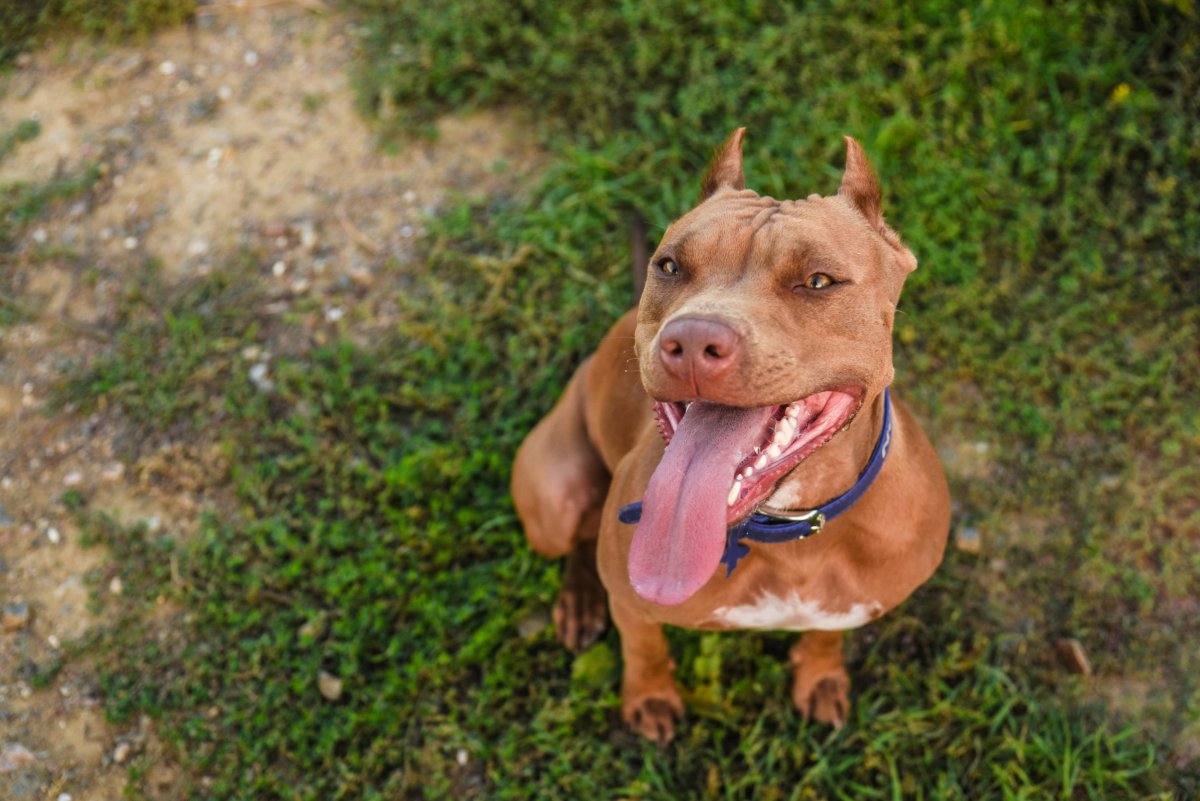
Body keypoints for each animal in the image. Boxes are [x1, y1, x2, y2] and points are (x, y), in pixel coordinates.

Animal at [511, 130, 950, 743]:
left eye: (818, 281)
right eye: (670, 266)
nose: (694, 340)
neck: (787, 530)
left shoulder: (848, 603)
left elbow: (824, 633)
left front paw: (820, 675)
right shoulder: (632, 598)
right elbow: (643, 645)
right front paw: (649, 696)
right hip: (554, 499)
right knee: (577, 539)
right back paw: (579, 601)